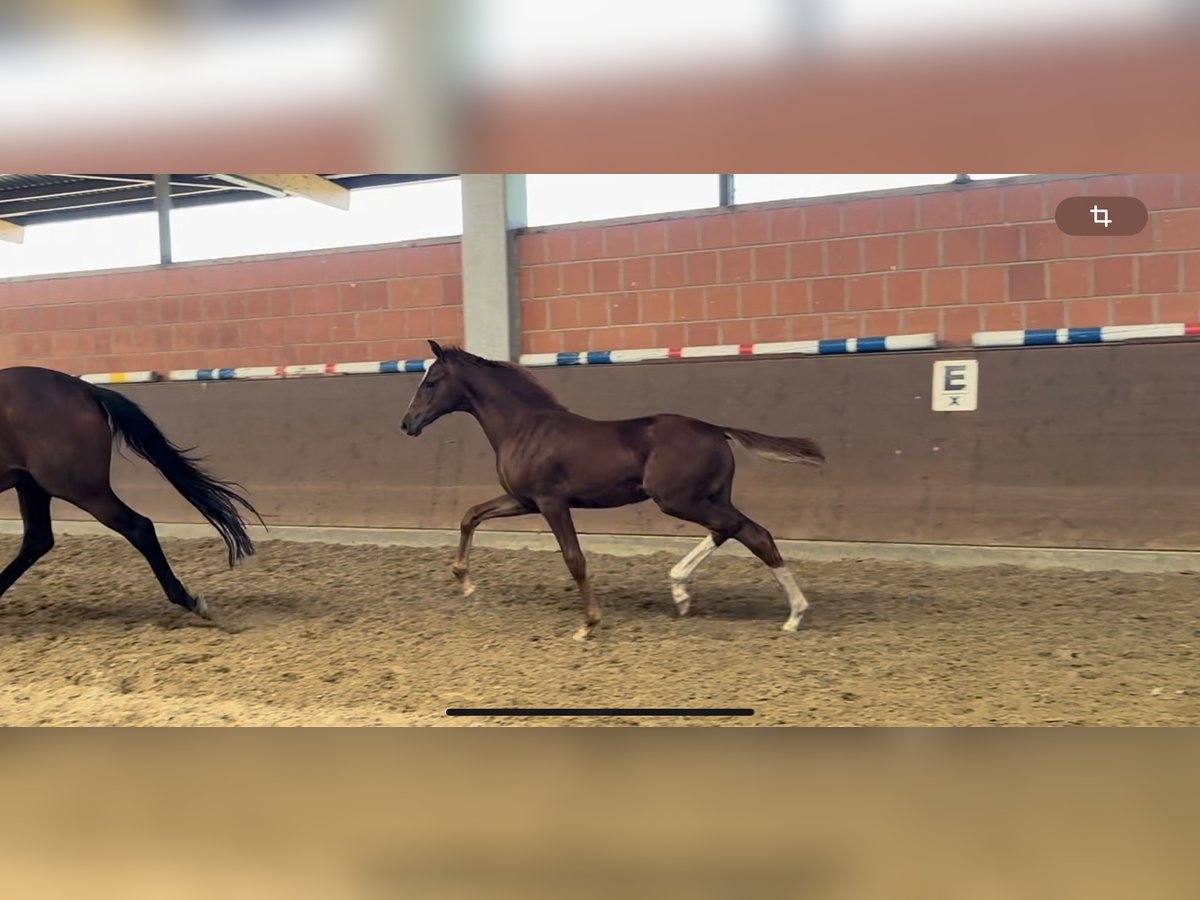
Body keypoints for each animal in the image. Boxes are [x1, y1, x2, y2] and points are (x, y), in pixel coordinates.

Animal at [0, 367, 262, 619]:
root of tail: (85, 390)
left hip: (79, 487)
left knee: (139, 527)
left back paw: (188, 600)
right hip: (34, 485)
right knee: (38, 539)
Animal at [403, 340, 825, 643]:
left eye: (431, 382)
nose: (407, 423)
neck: (525, 427)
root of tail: (716, 429)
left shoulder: (551, 502)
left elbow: (574, 559)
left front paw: (588, 624)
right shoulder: (524, 500)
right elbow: (470, 515)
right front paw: (465, 582)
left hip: (678, 500)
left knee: (747, 531)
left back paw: (785, 612)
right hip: (709, 498)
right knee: (739, 531)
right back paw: (695, 595)